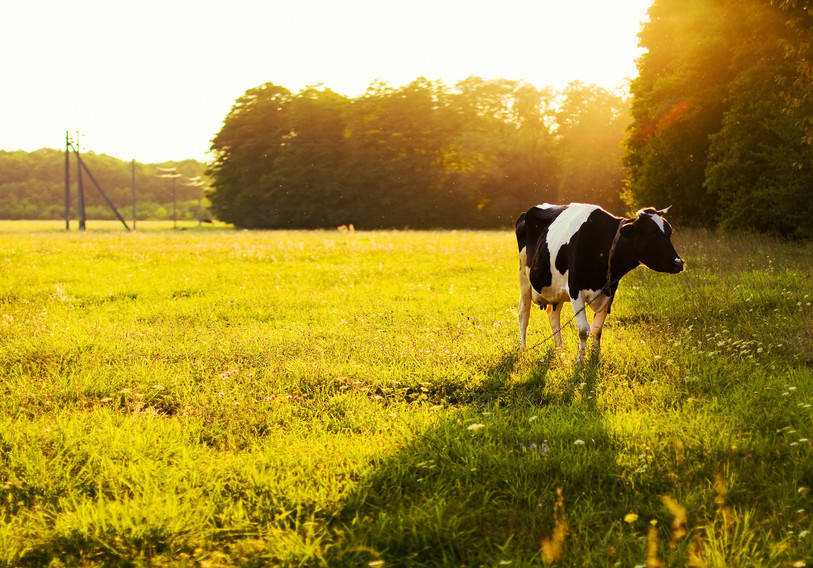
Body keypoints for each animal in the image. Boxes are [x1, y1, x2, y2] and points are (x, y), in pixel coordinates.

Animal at [516, 204, 680, 362]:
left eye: (669, 232)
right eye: (652, 234)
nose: (679, 263)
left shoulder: (609, 292)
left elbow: (597, 329)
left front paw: (594, 359)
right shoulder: (575, 290)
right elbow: (583, 330)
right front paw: (579, 363)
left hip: (555, 290)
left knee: (553, 316)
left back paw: (560, 351)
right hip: (523, 277)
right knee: (524, 314)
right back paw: (523, 349)